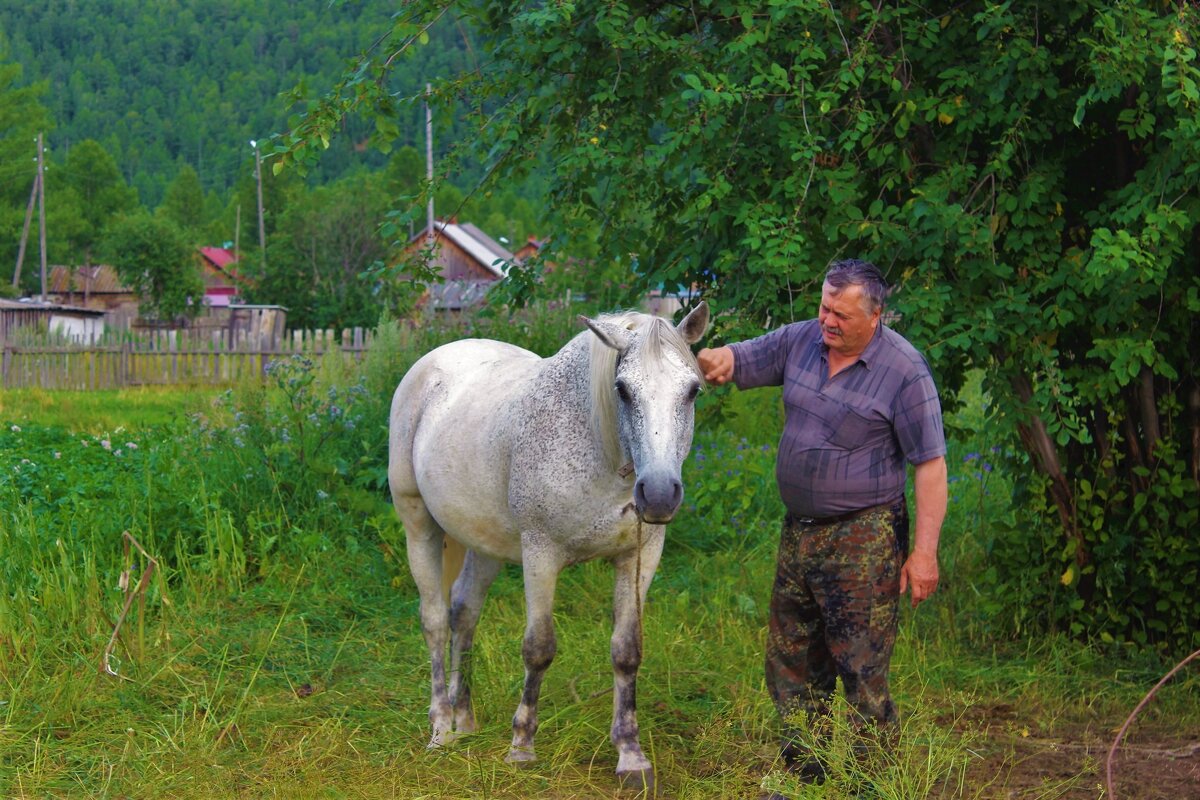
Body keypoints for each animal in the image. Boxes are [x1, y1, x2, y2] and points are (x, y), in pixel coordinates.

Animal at [384, 303, 705, 791]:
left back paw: (465, 719)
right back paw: (442, 729)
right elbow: (539, 648)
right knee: (436, 620)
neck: (598, 451)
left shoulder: (639, 558)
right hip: (418, 524)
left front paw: (631, 756)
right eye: (623, 390)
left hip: (484, 545)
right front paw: (521, 746)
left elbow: (627, 652)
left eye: (691, 390)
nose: (659, 494)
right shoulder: (540, 554)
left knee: (464, 613)